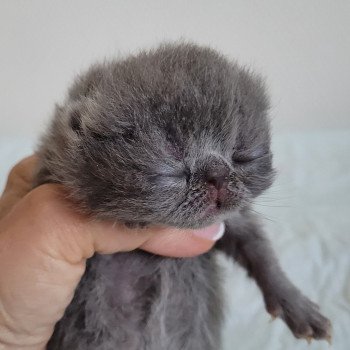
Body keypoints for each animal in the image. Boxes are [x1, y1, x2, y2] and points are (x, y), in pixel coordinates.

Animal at [34, 42, 332, 348]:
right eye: (171, 168)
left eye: (241, 156)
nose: (218, 175)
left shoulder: (231, 220)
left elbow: (260, 251)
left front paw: (296, 305)